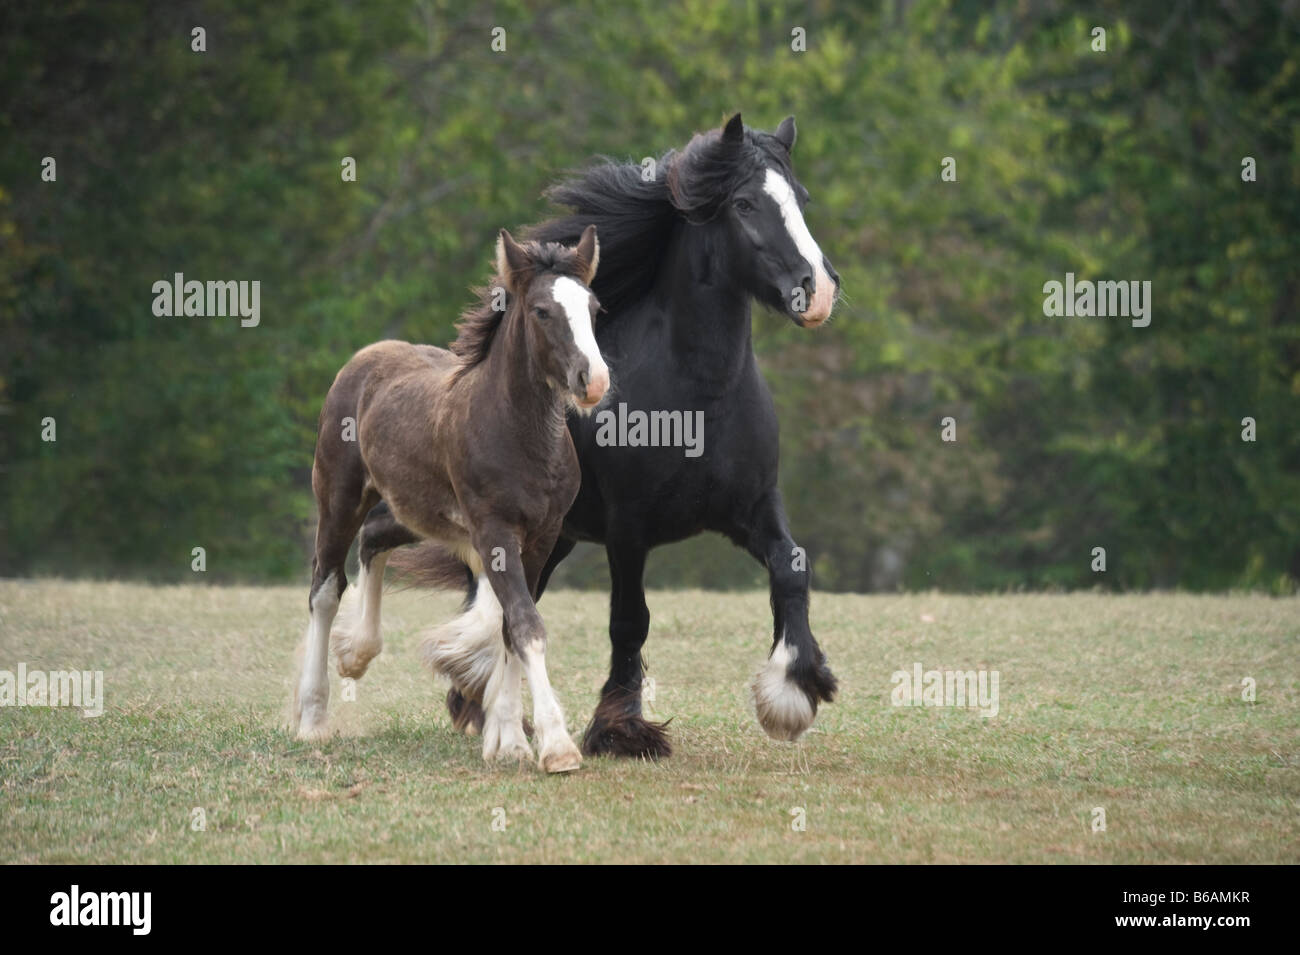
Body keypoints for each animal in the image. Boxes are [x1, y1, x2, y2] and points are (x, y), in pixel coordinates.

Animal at [377, 111, 842, 758]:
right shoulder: (629, 527)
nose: (817, 289)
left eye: (800, 198)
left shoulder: (752, 507)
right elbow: (630, 618)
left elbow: (791, 568)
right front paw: (623, 727)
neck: (696, 397)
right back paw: (480, 702)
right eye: (745, 204)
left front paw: (793, 692)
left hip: (557, 538)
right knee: (491, 599)